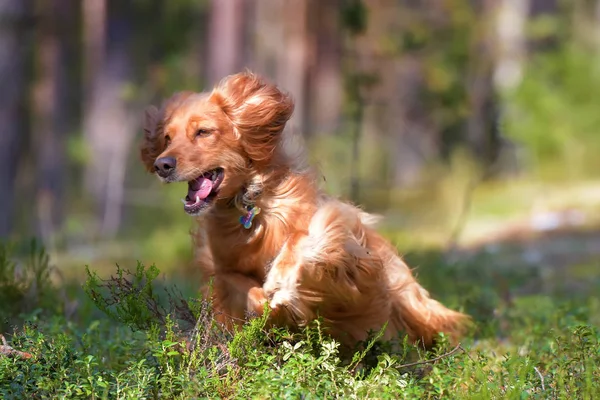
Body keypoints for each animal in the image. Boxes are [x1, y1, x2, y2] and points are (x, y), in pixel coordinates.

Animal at [142, 71, 468, 346]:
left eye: (203, 132)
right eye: (167, 138)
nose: (162, 165)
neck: (249, 202)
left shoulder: (339, 228)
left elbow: (303, 237)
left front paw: (282, 278)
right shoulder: (221, 268)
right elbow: (239, 285)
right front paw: (271, 305)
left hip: (408, 298)